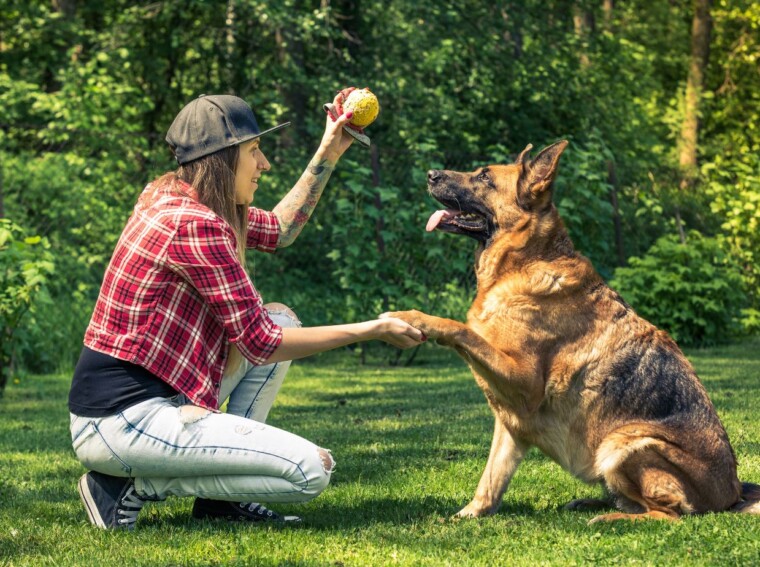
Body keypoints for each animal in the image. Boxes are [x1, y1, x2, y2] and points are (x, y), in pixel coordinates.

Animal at [388, 142, 756, 524]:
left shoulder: (524, 382)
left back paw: (611, 519)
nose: (430, 174)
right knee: (634, 502)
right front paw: (469, 515)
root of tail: (732, 493)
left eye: (485, 177)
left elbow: (462, 330)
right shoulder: (511, 423)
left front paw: (413, 318)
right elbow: (490, 481)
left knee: (668, 513)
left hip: (623, 444)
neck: (524, 261)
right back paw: (592, 503)